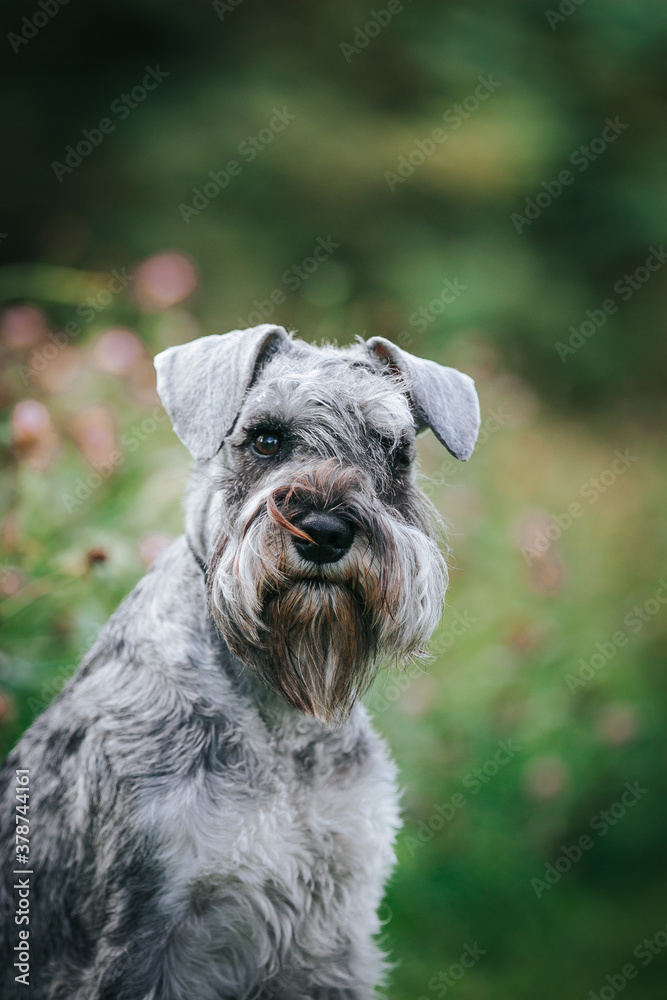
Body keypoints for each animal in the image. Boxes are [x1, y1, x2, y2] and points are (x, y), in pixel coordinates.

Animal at [0, 324, 480, 996]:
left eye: (394, 452)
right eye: (265, 438)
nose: (325, 531)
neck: (282, 722)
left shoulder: (332, 935)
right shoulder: (145, 936)